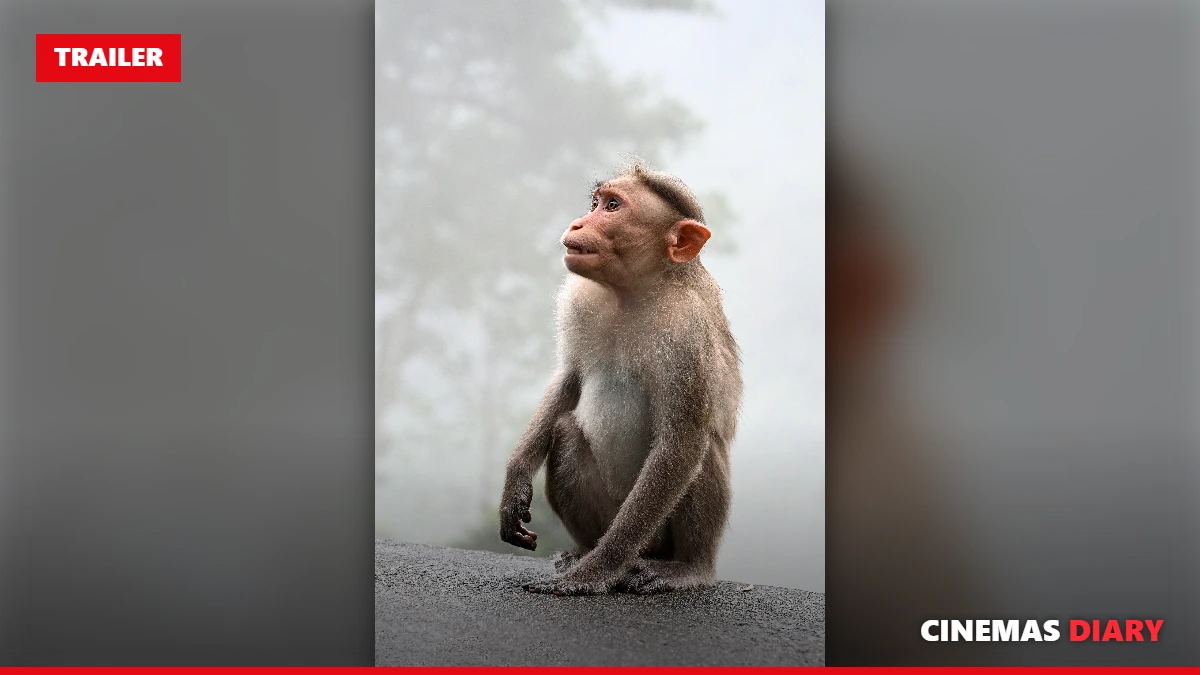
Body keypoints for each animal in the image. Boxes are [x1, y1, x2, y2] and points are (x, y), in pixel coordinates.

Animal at [497, 162, 742, 596]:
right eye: (595, 203)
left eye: (612, 207)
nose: (577, 222)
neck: (632, 292)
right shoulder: (579, 300)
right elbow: (570, 380)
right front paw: (516, 479)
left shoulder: (686, 335)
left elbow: (681, 443)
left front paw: (596, 571)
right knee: (565, 432)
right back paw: (580, 551)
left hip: (652, 537)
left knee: (701, 450)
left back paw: (688, 567)